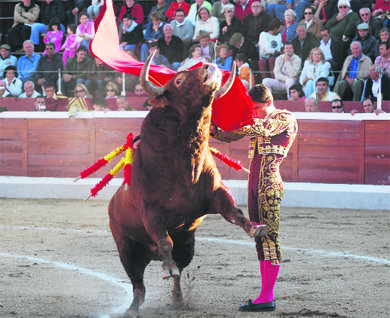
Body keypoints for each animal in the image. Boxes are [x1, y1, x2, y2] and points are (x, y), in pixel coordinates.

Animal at [107, 53, 268, 316]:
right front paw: (166, 268)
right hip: (126, 249)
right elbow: (164, 239)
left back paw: (179, 300)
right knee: (138, 284)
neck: (184, 164)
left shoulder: (216, 194)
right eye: (179, 80)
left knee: (178, 274)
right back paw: (133, 308)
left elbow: (235, 213)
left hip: (187, 247)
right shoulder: (150, 211)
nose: (208, 66)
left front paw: (255, 228)